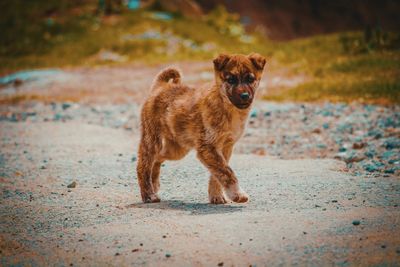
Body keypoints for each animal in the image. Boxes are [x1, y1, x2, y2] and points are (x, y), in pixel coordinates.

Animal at [137, 53, 266, 204]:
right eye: (231, 79)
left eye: (250, 79)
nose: (245, 96)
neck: (227, 108)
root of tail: (160, 86)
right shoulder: (208, 146)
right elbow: (226, 172)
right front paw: (237, 194)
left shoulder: (225, 147)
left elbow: (217, 173)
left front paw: (216, 196)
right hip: (152, 140)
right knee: (143, 166)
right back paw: (148, 194)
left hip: (177, 149)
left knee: (157, 159)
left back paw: (154, 184)